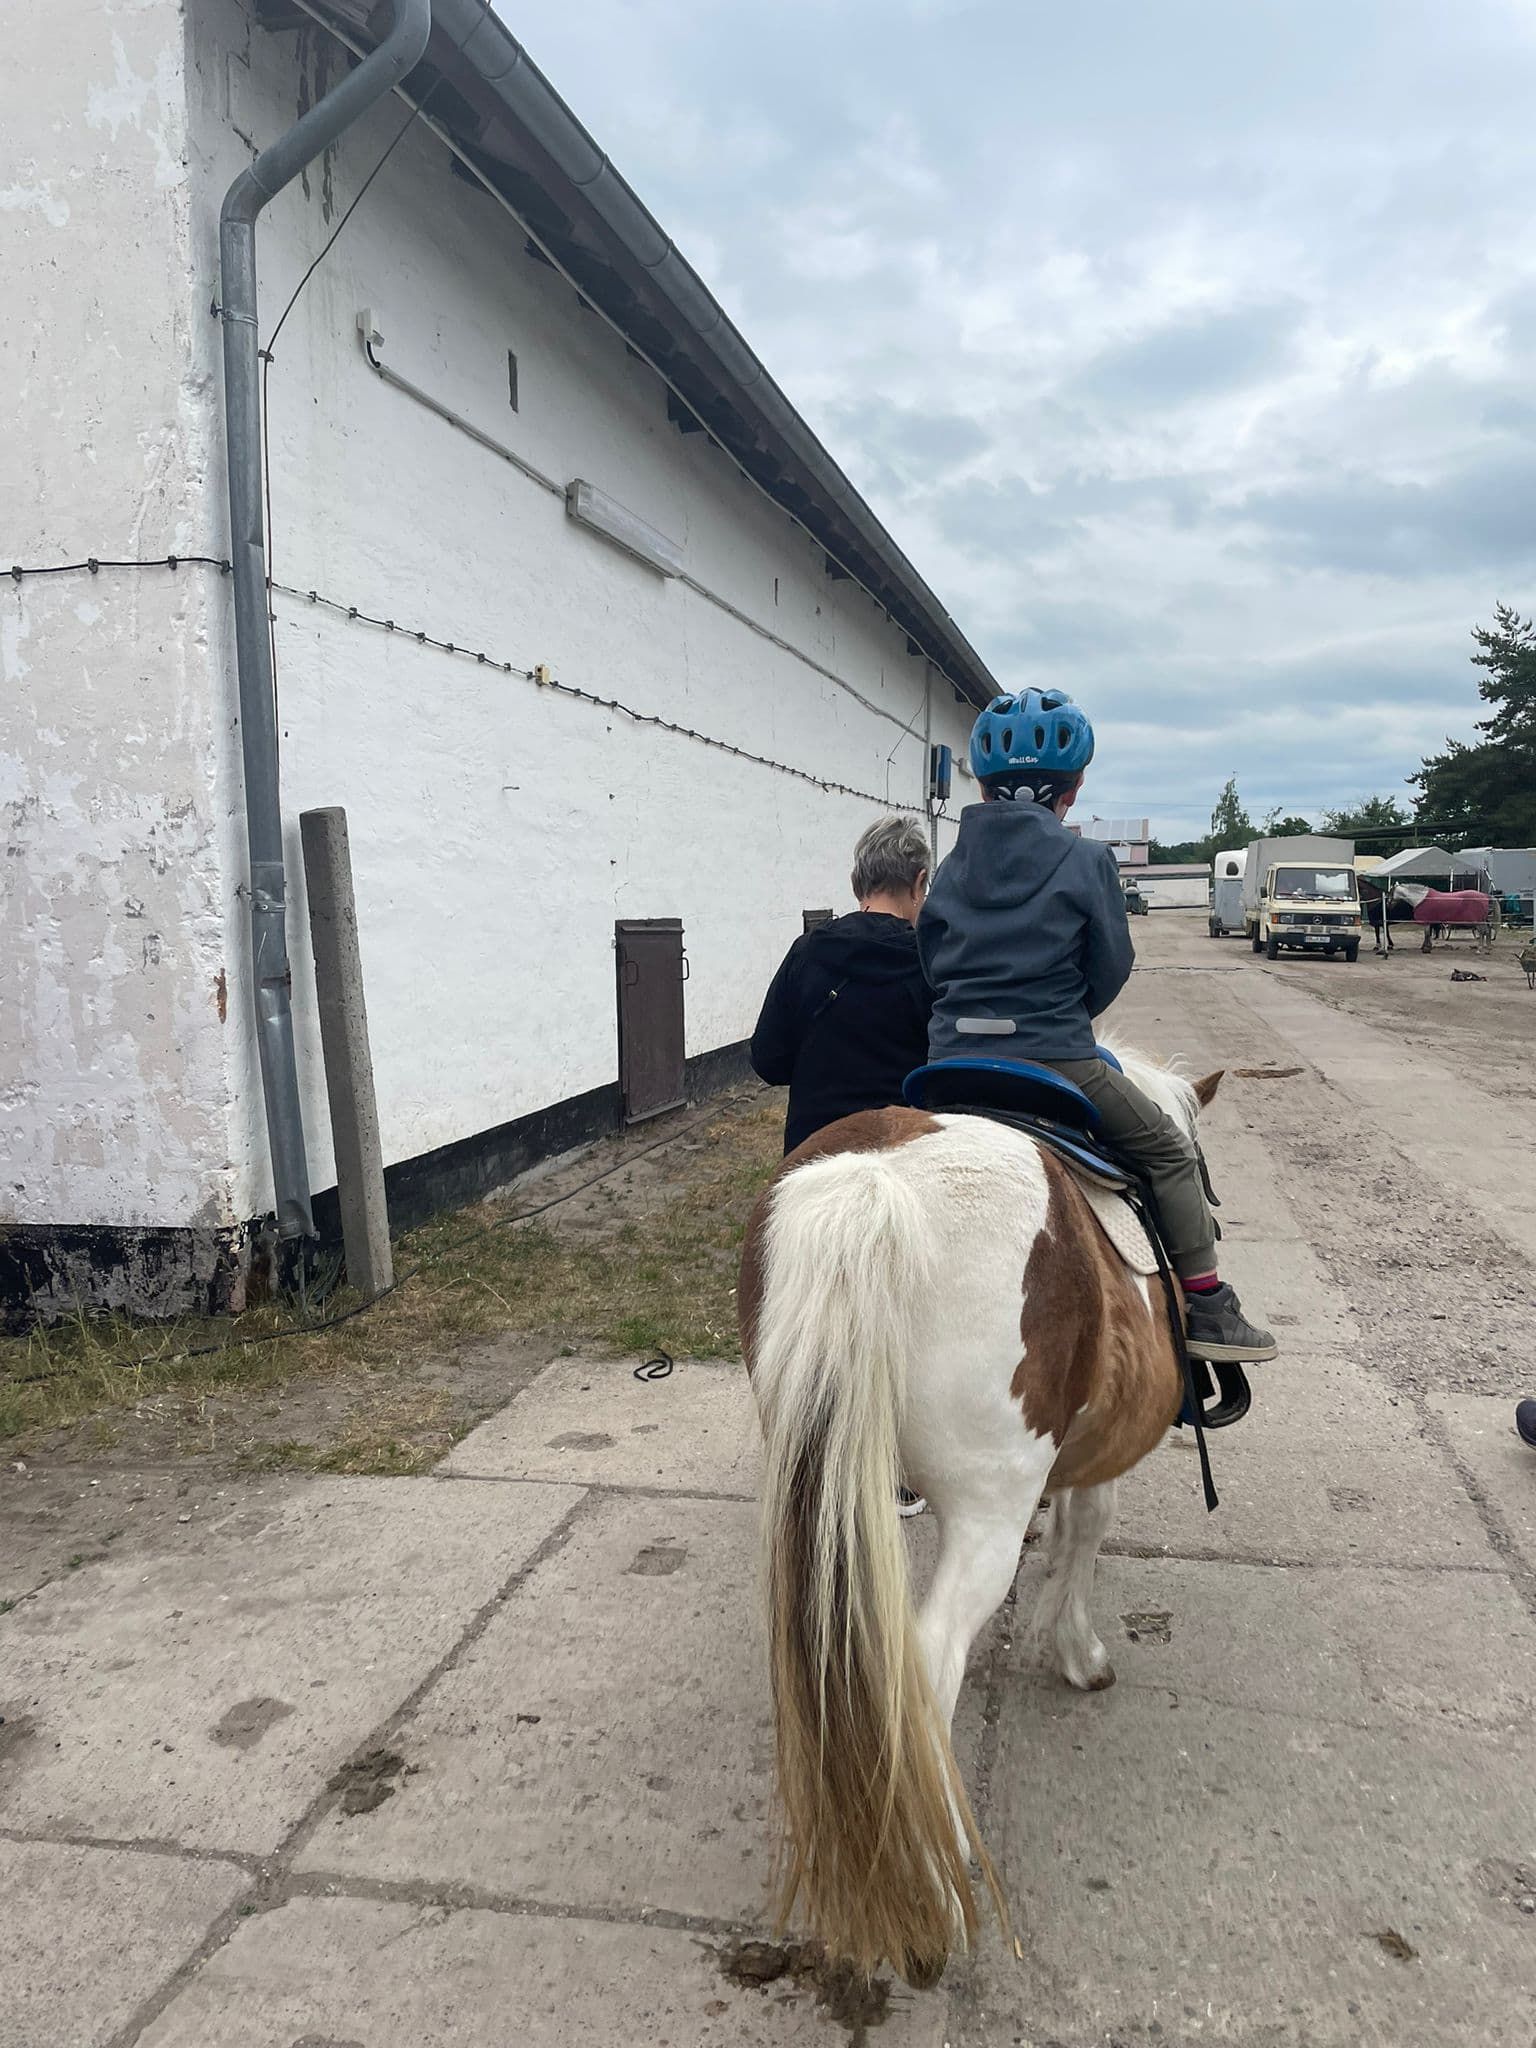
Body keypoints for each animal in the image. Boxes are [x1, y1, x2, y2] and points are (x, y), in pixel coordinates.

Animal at [741, 1040, 1228, 1982]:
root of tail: (877, 1176)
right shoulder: (1093, 1455)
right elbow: (1086, 1531)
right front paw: (1077, 1651)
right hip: (985, 1512)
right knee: (928, 1659)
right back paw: (936, 1864)